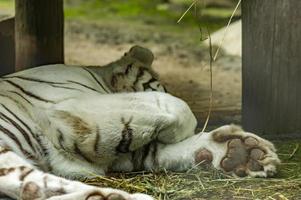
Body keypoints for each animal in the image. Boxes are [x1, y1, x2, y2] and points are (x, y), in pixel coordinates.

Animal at [0, 46, 278, 199]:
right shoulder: (71, 106)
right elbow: (178, 108)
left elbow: (158, 150)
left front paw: (241, 153)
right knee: (28, 183)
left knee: (32, 185)